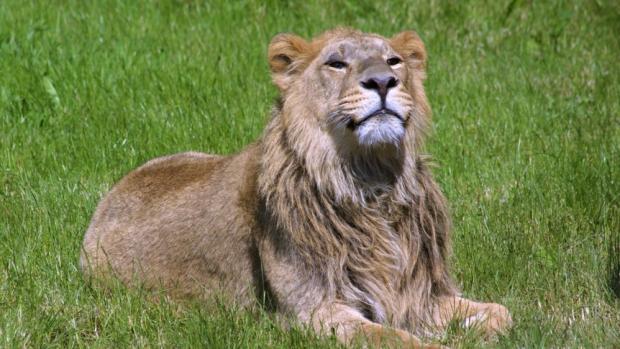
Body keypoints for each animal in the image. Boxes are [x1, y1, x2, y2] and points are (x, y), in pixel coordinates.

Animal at [80, 28, 512, 346]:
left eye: (394, 61)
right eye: (337, 63)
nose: (383, 81)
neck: (371, 183)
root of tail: (109, 197)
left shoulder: (418, 294)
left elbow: (503, 314)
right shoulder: (313, 310)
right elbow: (394, 339)